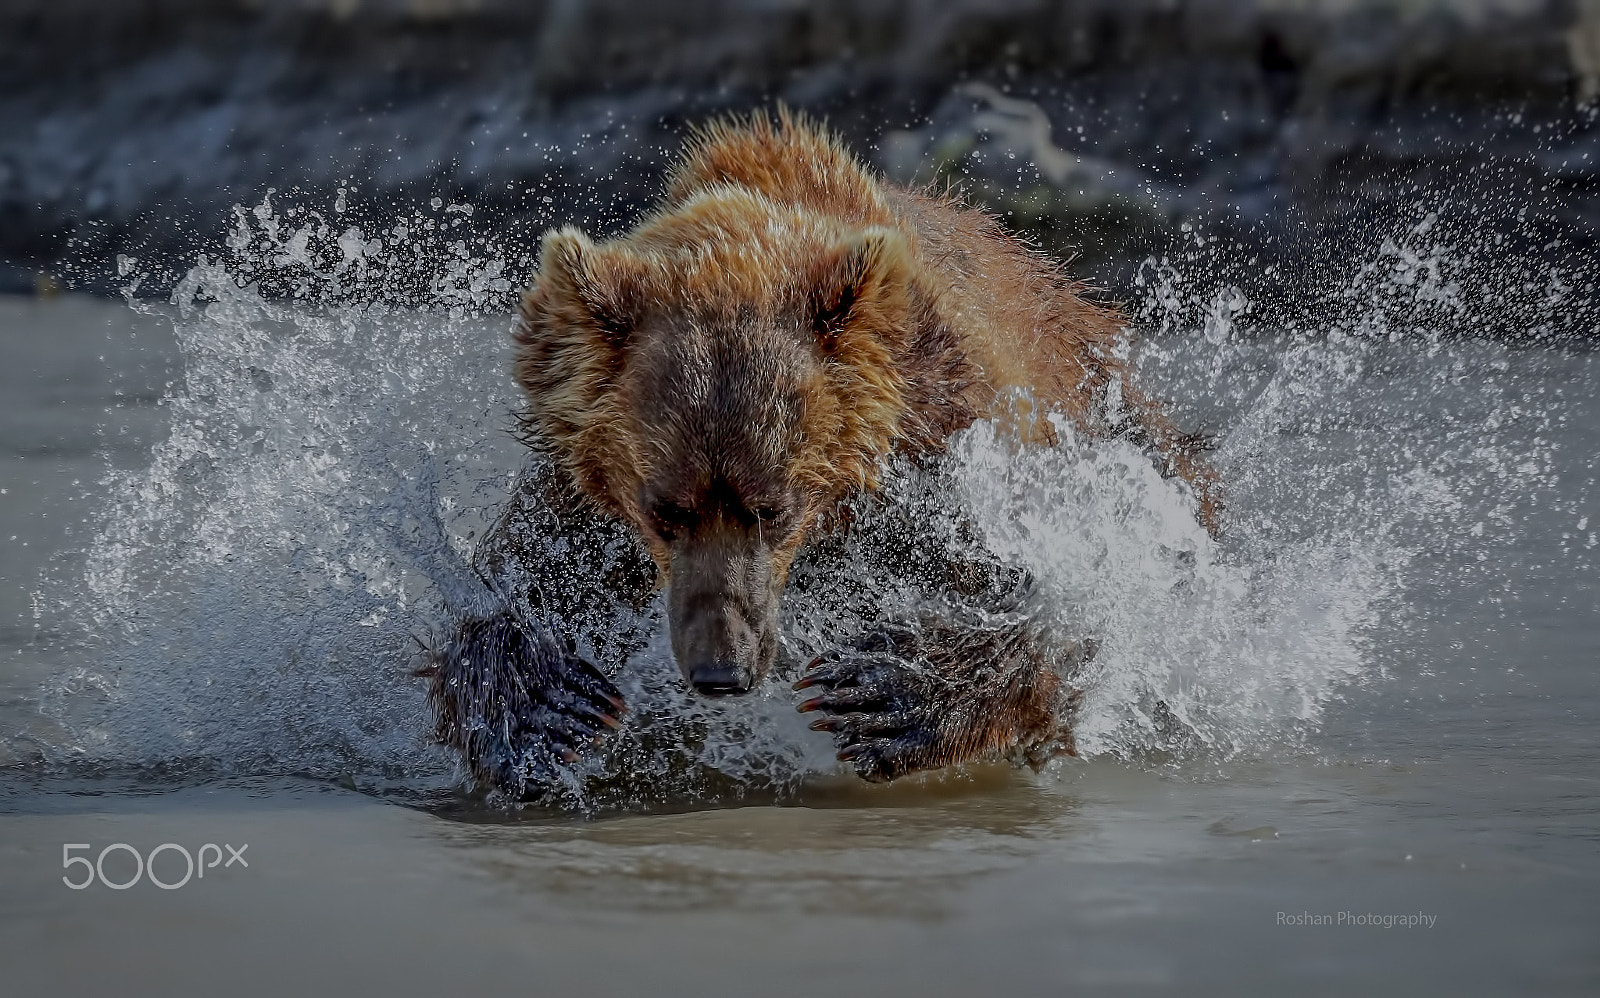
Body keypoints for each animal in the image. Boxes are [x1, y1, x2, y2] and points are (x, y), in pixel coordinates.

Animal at [425, 107, 1209, 796]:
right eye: (664, 510)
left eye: (772, 507)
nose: (722, 671)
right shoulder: (582, 508)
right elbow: (510, 587)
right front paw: (540, 706)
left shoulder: (947, 453)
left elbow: (1082, 597)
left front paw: (883, 693)